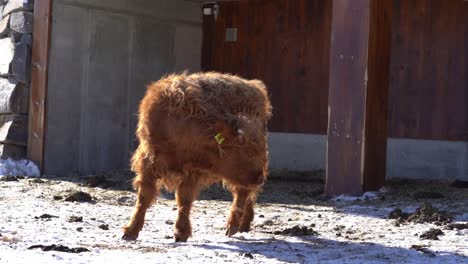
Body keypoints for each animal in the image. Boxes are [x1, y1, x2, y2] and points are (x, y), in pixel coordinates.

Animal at [122, 71, 272, 241]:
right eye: (244, 151)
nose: (260, 178)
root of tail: (254, 85)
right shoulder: (149, 161)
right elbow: (144, 197)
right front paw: (131, 230)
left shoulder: (193, 169)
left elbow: (184, 199)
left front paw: (181, 232)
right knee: (248, 194)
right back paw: (244, 224)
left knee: (243, 193)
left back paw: (233, 225)